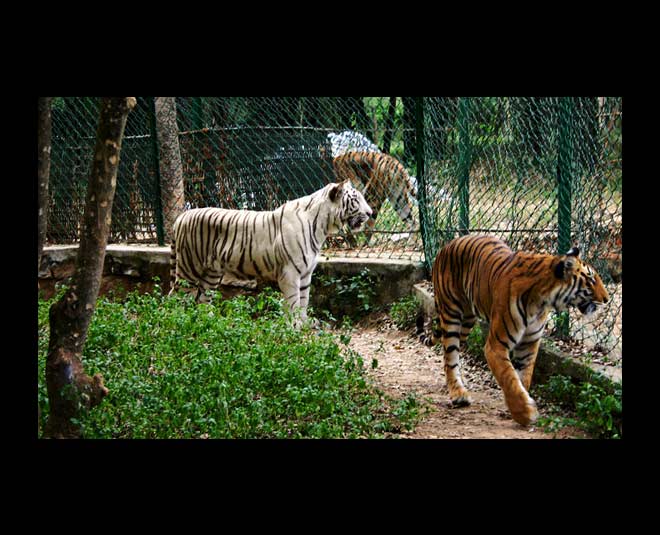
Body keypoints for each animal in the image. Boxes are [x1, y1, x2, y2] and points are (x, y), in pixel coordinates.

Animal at [169, 180, 372, 324]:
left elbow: (304, 301)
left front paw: (305, 324)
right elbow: (293, 303)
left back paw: (209, 322)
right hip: (188, 268)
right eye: (356, 199)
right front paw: (294, 327)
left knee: (202, 299)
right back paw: (175, 322)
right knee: (175, 296)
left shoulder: (306, 274)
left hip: (212, 273)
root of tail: (181, 216)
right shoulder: (290, 274)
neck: (322, 226)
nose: (371, 213)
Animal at [417, 234, 609, 426]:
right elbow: (508, 376)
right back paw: (458, 394)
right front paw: (524, 412)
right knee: (449, 357)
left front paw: (522, 404)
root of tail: (446, 246)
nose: (607, 299)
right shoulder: (495, 345)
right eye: (591, 280)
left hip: (467, 321)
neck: (543, 300)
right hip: (451, 315)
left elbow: (523, 377)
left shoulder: (529, 343)